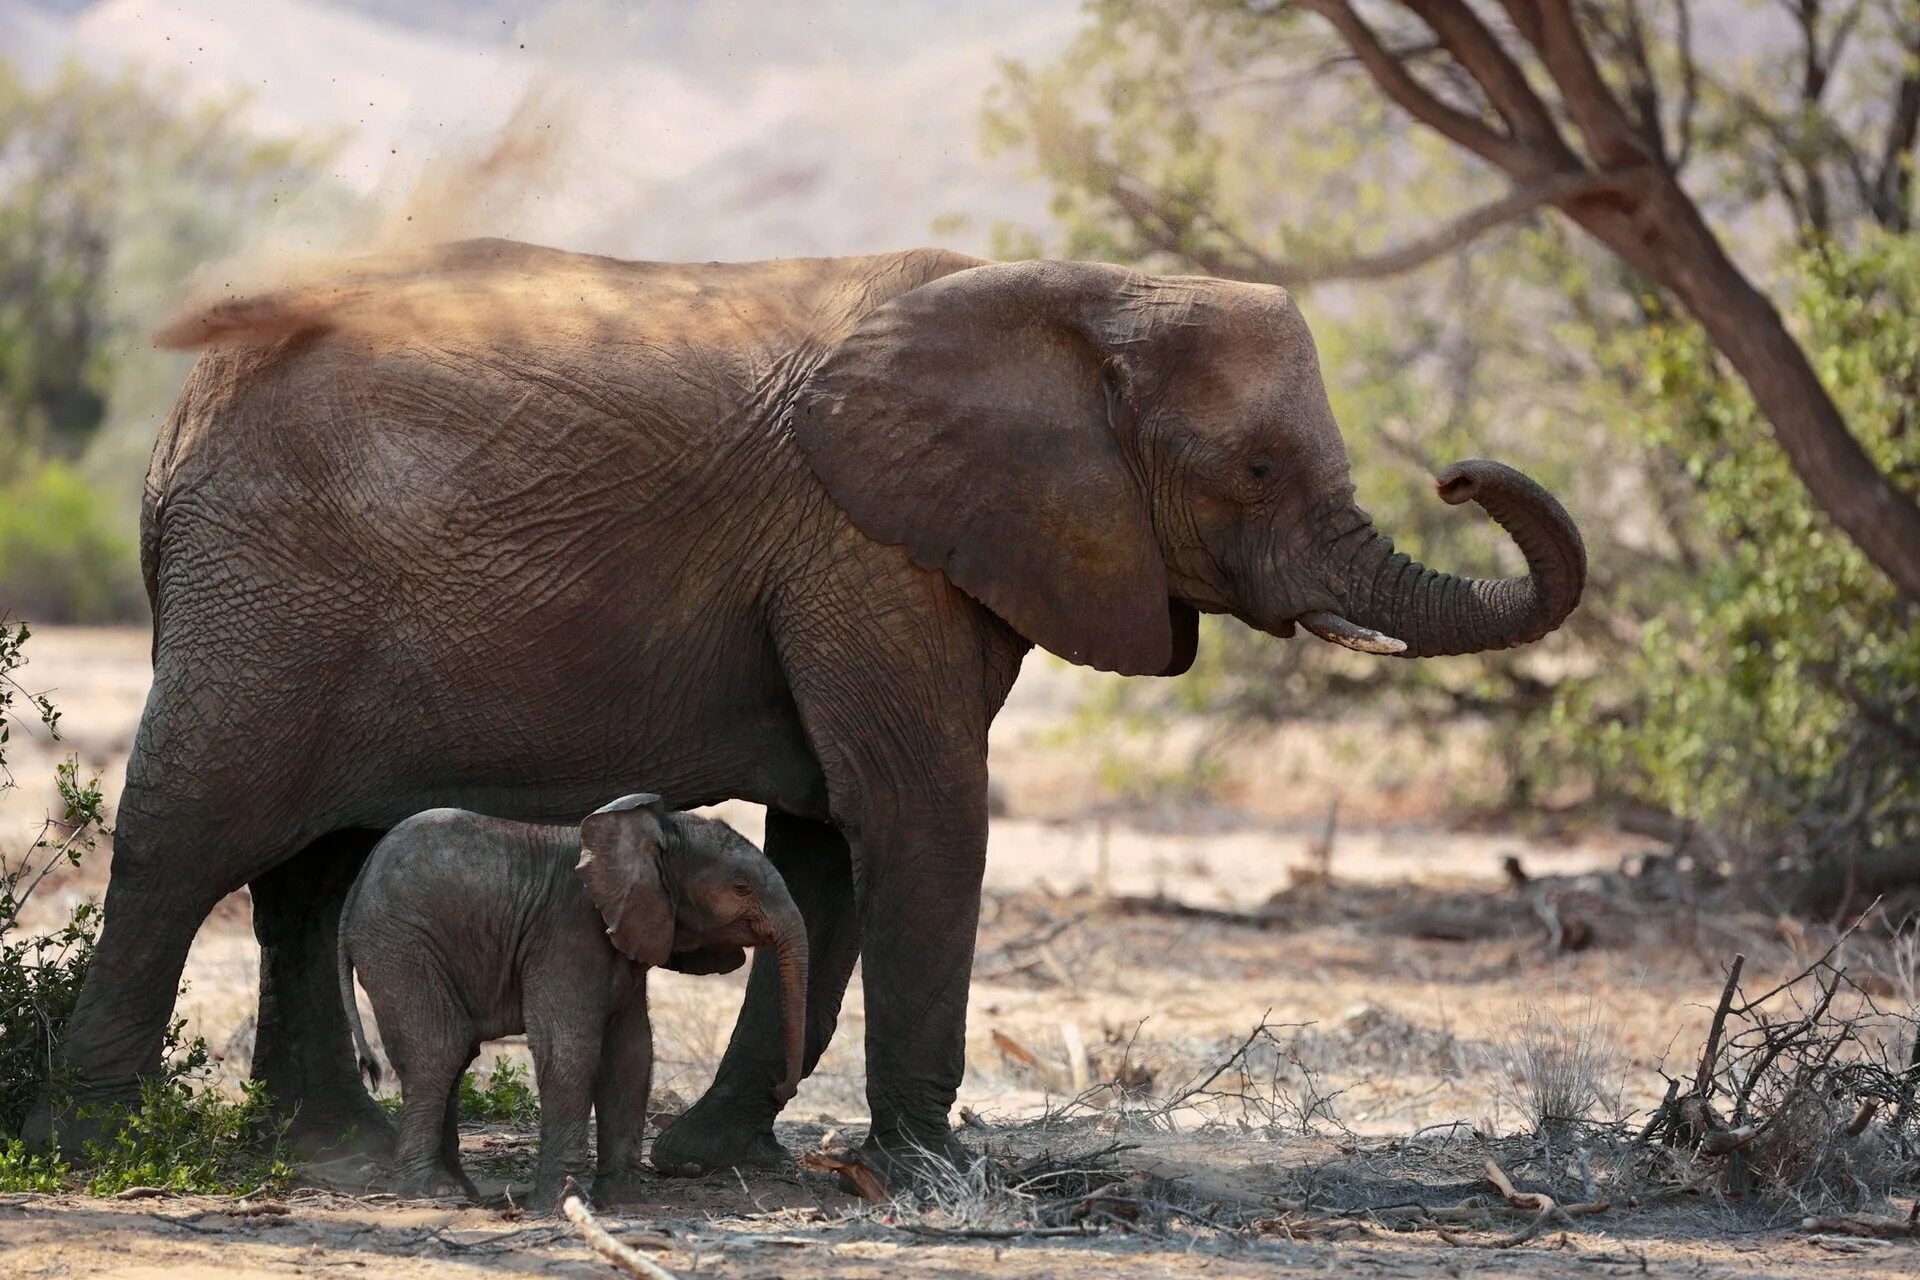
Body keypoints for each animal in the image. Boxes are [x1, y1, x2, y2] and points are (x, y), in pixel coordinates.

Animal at [337, 790, 802, 1212]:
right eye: (741, 888)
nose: (783, 1085)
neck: (654, 832)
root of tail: (357, 882)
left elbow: (631, 1055)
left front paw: (626, 1205)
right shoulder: (567, 931)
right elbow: (570, 1050)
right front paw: (561, 1205)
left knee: (456, 1052)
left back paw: (460, 1190)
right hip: (400, 943)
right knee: (439, 1049)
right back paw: (431, 1193)